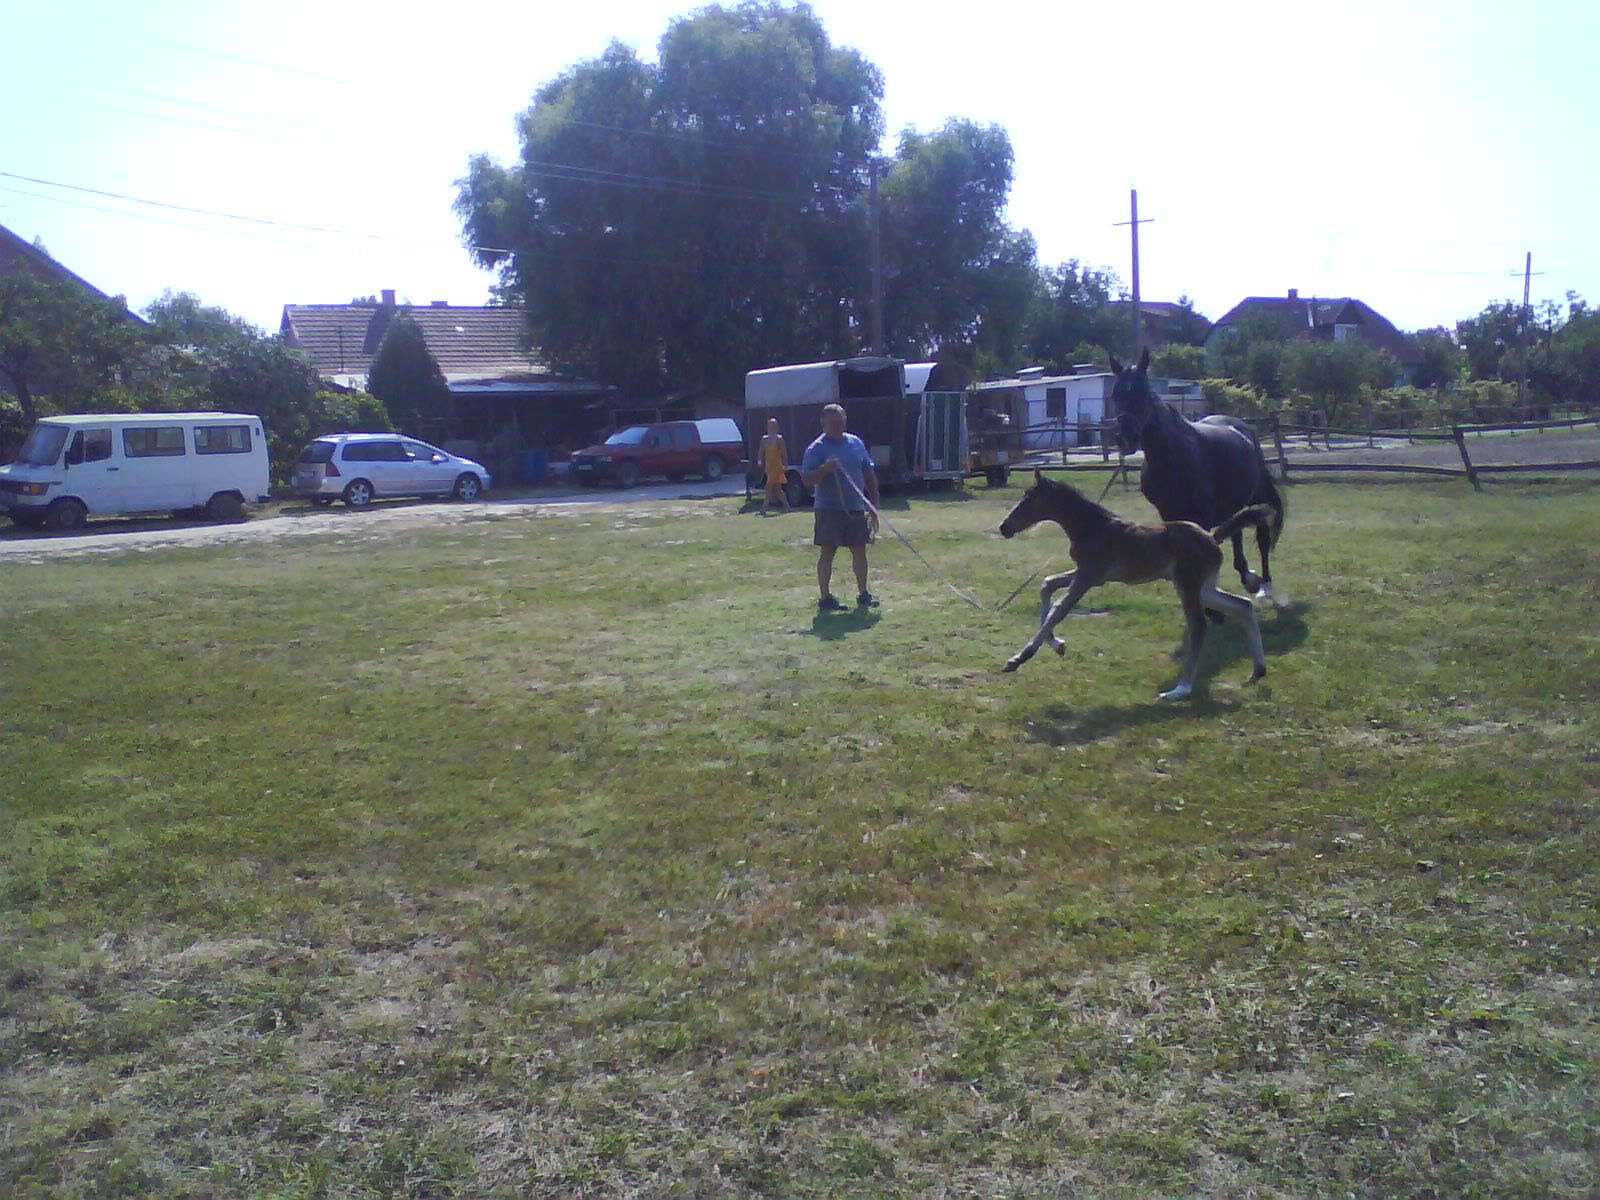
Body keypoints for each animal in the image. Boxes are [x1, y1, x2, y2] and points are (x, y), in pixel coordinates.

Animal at [998, 471, 1273, 699]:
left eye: (1029, 500)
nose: (1004, 527)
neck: (1093, 527)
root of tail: (1212, 538)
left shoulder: (1088, 576)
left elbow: (1059, 608)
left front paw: (1019, 658)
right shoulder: (1092, 576)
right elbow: (1047, 585)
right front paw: (1057, 645)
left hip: (1188, 585)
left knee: (1199, 626)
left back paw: (1180, 690)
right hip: (1203, 588)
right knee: (1242, 605)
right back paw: (1257, 671)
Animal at [1109, 347, 1284, 601]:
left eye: (1144, 393)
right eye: (1115, 395)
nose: (1125, 439)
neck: (1171, 459)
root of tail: (1242, 428)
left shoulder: (1202, 517)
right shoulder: (1168, 514)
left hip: (1256, 497)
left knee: (1261, 538)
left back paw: (1265, 587)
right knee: (1237, 532)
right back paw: (1247, 576)